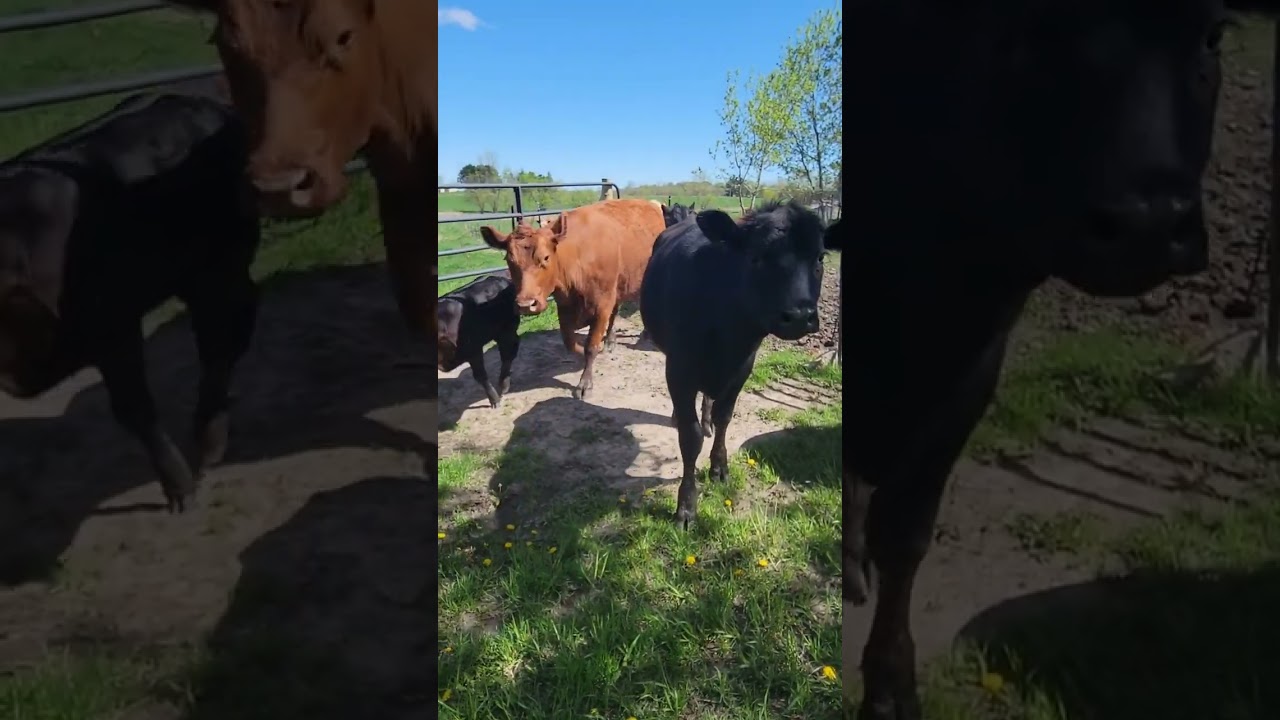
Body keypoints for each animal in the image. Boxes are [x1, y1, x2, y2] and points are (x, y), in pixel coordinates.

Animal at [0, 92, 260, 513]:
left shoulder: (111, 323)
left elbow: (134, 408)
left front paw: (180, 491)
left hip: (219, 265)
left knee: (223, 340)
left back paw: (208, 442)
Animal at [437, 274, 521, 408]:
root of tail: (497, 277)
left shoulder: (473, 350)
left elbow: (480, 376)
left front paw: (495, 401)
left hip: (506, 330)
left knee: (507, 354)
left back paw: (503, 386)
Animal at [478, 198, 667, 400]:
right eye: (509, 260)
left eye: (545, 257)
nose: (526, 304)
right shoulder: (565, 305)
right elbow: (570, 342)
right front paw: (582, 350)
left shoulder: (601, 304)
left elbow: (591, 346)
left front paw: (585, 383)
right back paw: (610, 341)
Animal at [640, 201, 827, 529]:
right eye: (756, 257)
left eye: (819, 257)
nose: (800, 315)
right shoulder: (679, 369)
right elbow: (690, 437)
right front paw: (686, 508)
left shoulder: (742, 367)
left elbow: (725, 417)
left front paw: (719, 467)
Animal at [843, 1, 1280, 718]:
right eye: (1020, 28)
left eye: (1212, 35)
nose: (1149, 222)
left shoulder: (971, 372)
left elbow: (905, 533)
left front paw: (890, 687)